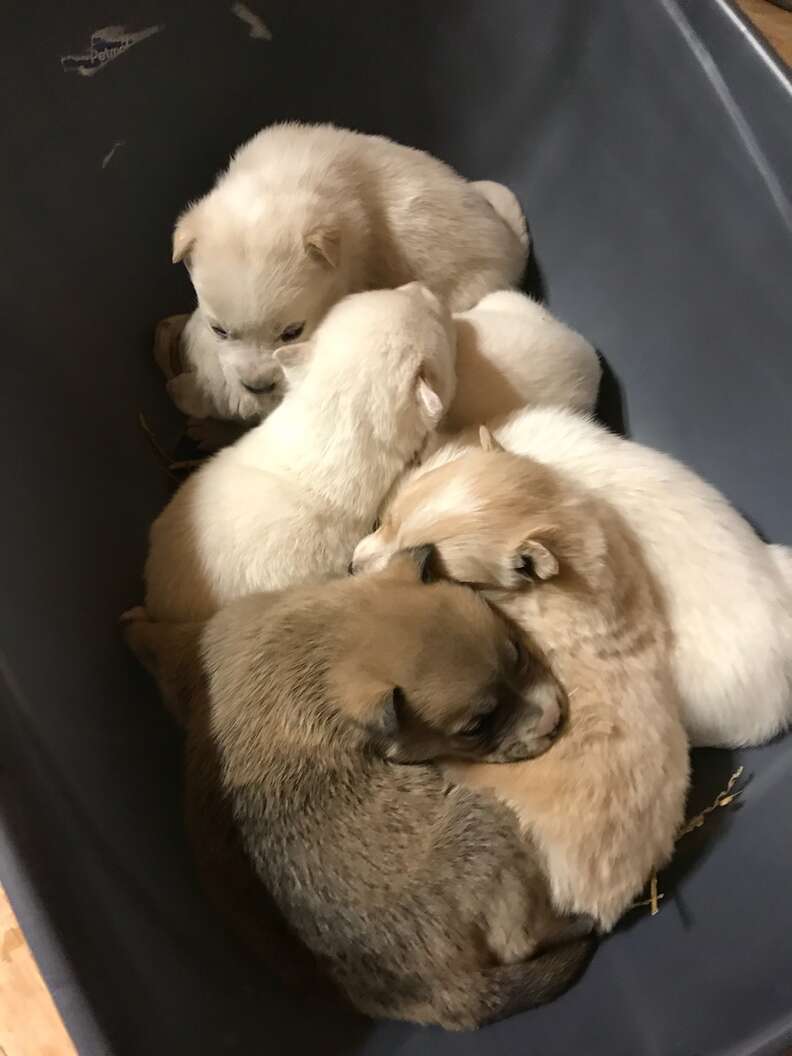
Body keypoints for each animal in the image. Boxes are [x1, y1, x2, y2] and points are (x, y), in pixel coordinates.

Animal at [122, 553, 595, 1030]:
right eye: (476, 727)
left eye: (517, 650)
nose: (555, 719)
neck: (325, 641)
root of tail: (438, 997)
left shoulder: (204, 644)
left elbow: (161, 647)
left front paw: (133, 625)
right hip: (487, 825)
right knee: (520, 939)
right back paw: (581, 922)